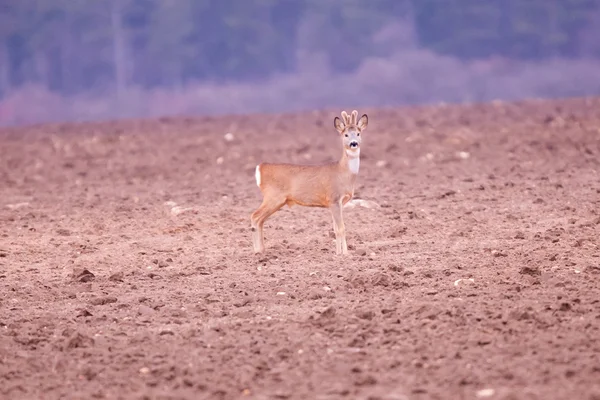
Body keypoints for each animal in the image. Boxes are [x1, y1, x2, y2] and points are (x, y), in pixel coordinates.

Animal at [251, 109, 368, 255]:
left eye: (358, 133)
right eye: (345, 134)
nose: (353, 143)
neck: (343, 173)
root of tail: (260, 167)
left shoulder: (335, 203)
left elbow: (336, 229)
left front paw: (338, 252)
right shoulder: (334, 198)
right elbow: (341, 228)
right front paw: (345, 254)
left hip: (276, 199)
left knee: (260, 220)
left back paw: (262, 250)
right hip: (273, 196)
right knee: (255, 216)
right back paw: (257, 251)